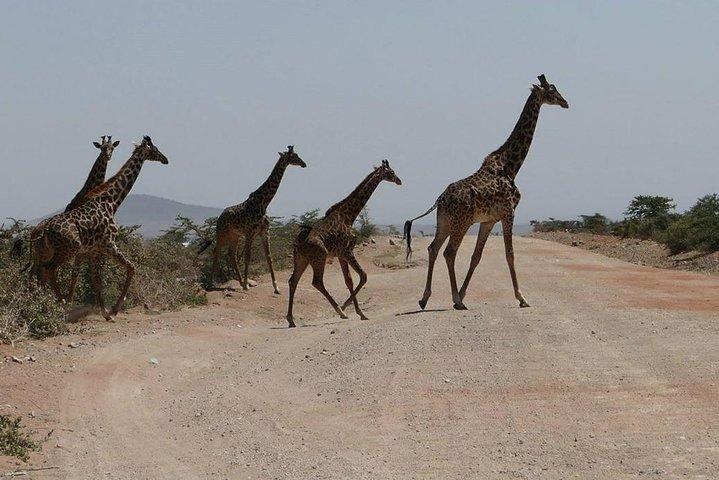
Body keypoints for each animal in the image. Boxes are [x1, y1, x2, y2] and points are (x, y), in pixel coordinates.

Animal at [12, 135, 119, 292]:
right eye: (102, 148)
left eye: (112, 148)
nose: (108, 156)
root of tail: (33, 233)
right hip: (43, 252)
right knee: (37, 271)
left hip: (44, 253)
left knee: (37, 271)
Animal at [35, 136, 168, 319]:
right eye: (155, 149)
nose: (166, 159)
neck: (112, 201)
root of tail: (46, 229)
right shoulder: (108, 244)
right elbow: (131, 267)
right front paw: (114, 309)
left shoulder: (94, 249)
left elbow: (96, 280)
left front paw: (106, 312)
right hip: (69, 249)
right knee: (48, 270)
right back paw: (59, 304)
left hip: (57, 251)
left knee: (42, 272)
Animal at [199, 146, 306, 294]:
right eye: (294, 156)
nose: (304, 164)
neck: (264, 203)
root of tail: (220, 216)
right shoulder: (250, 233)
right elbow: (248, 257)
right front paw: (246, 285)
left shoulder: (264, 232)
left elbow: (269, 257)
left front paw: (276, 287)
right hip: (222, 233)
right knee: (216, 251)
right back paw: (210, 283)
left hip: (235, 235)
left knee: (232, 255)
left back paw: (240, 282)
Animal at [286, 160, 402, 327]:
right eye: (391, 172)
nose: (399, 181)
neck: (349, 216)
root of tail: (298, 244)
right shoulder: (347, 251)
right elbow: (363, 276)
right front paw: (355, 310)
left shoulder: (341, 255)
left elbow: (349, 281)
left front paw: (356, 310)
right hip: (319, 257)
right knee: (317, 282)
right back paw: (340, 311)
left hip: (302, 259)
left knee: (293, 281)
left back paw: (291, 320)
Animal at [405, 74, 569, 310]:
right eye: (552, 91)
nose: (566, 102)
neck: (511, 165)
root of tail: (440, 199)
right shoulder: (509, 213)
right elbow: (510, 254)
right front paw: (522, 298)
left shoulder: (489, 220)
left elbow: (477, 256)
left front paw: (463, 294)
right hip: (461, 222)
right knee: (449, 252)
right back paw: (455, 301)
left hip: (444, 221)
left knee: (433, 248)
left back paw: (425, 298)